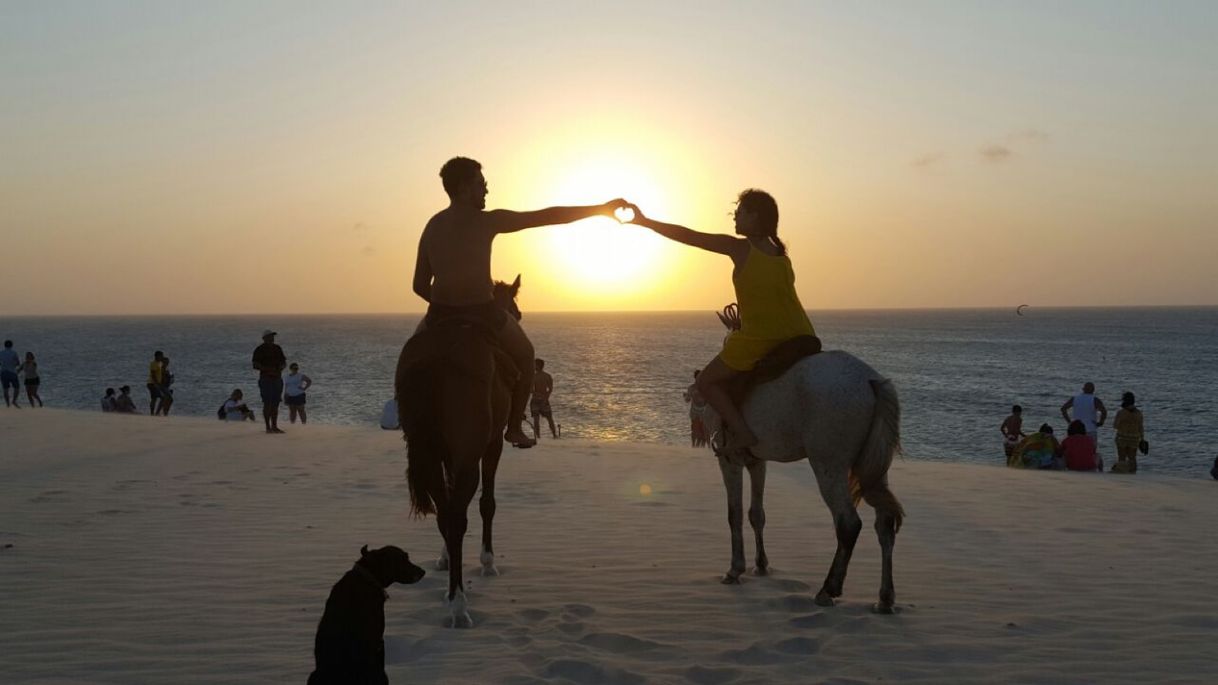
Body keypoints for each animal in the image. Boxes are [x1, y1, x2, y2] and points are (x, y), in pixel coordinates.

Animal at [394, 274, 518, 628]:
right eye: (514, 305)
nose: (516, 317)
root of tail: (435, 359)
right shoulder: (491, 444)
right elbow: (488, 503)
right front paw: (488, 562)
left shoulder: (447, 454)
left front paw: (445, 557)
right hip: (468, 456)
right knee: (458, 516)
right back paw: (459, 605)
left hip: (432, 455)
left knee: (445, 512)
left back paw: (452, 594)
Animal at [706, 348, 906, 609]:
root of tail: (871, 381)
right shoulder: (758, 461)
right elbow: (756, 514)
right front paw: (761, 565)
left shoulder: (729, 460)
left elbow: (734, 514)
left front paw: (734, 570)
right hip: (875, 470)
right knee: (884, 523)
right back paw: (884, 599)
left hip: (829, 466)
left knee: (848, 523)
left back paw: (828, 589)